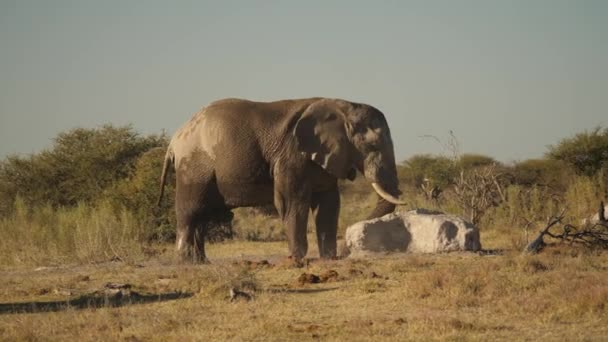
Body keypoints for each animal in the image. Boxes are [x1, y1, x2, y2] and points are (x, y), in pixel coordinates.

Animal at [157, 97, 406, 264]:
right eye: (372, 146)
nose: (348, 250)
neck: (342, 106)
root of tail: (175, 140)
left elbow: (328, 204)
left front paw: (328, 258)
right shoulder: (291, 154)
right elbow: (292, 202)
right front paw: (298, 260)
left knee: (204, 215)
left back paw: (201, 262)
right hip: (194, 166)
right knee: (191, 211)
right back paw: (185, 263)